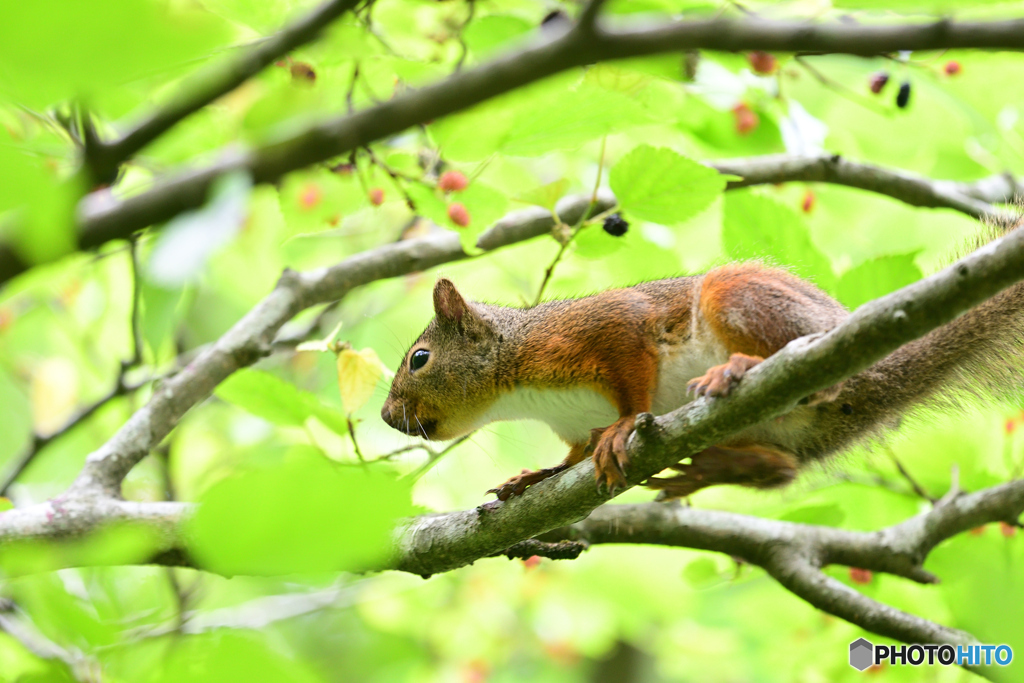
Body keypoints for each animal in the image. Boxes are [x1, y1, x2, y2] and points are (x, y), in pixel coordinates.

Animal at [380, 227, 1024, 499]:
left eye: (419, 359)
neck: (518, 382)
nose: (387, 417)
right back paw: (721, 466)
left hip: (737, 297)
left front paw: (623, 427)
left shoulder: (605, 330)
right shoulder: (572, 425)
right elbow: (570, 459)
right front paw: (531, 479)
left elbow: (633, 386)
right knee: (782, 470)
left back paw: (735, 372)